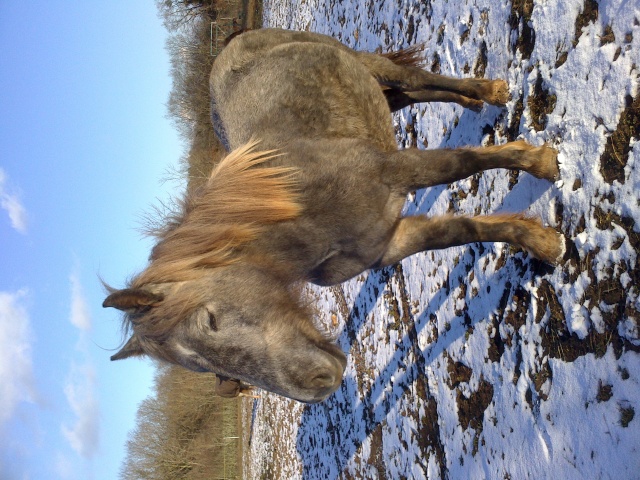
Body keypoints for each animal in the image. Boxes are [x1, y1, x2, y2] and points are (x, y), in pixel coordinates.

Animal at [102, 29, 564, 404]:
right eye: (208, 369)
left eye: (209, 320)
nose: (317, 385)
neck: (304, 210)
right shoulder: (390, 242)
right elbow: (463, 231)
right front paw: (541, 242)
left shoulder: (399, 171)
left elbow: (464, 164)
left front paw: (541, 164)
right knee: (407, 96)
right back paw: (471, 101)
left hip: (364, 61)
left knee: (414, 81)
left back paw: (488, 91)